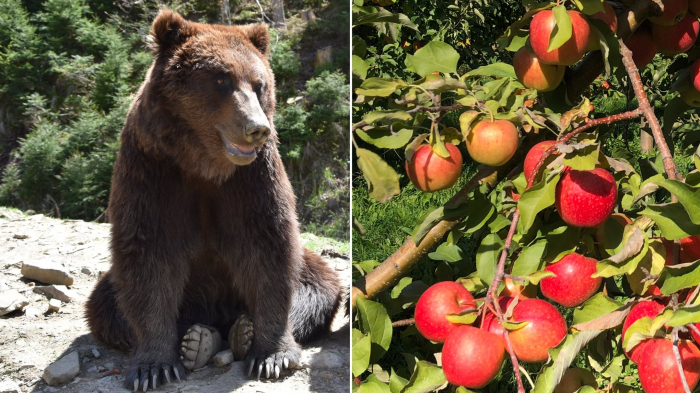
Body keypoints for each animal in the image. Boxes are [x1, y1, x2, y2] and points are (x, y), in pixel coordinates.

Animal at [84, 8, 344, 388]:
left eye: (259, 83)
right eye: (222, 79)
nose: (256, 127)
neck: (204, 164)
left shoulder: (251, 180)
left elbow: (269, 248)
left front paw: (272, 355)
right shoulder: (153, 171)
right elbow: (148, 257)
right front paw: (153, 367)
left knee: (317, 288)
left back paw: (240, 332)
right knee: (107, 305)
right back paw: (197, 340)